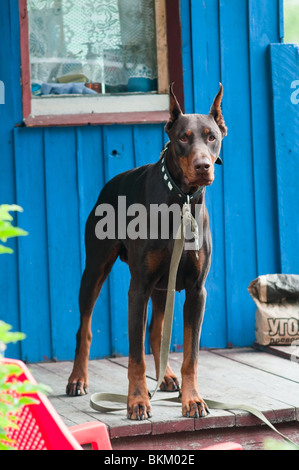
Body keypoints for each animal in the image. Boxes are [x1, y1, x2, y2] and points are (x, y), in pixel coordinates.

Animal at [66, 84, 227, 422]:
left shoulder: (196, 290)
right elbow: (134, 356)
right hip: (96, 269)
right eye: (183, 138)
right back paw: (77, 379)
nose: (203, 167)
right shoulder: (138, 288)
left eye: (212, 136)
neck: (181, 201)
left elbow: (191, 355)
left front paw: (192, 399)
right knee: (84, 327)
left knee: (156, 330)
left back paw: (166, 376)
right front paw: (138, 402)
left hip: (162, 285)